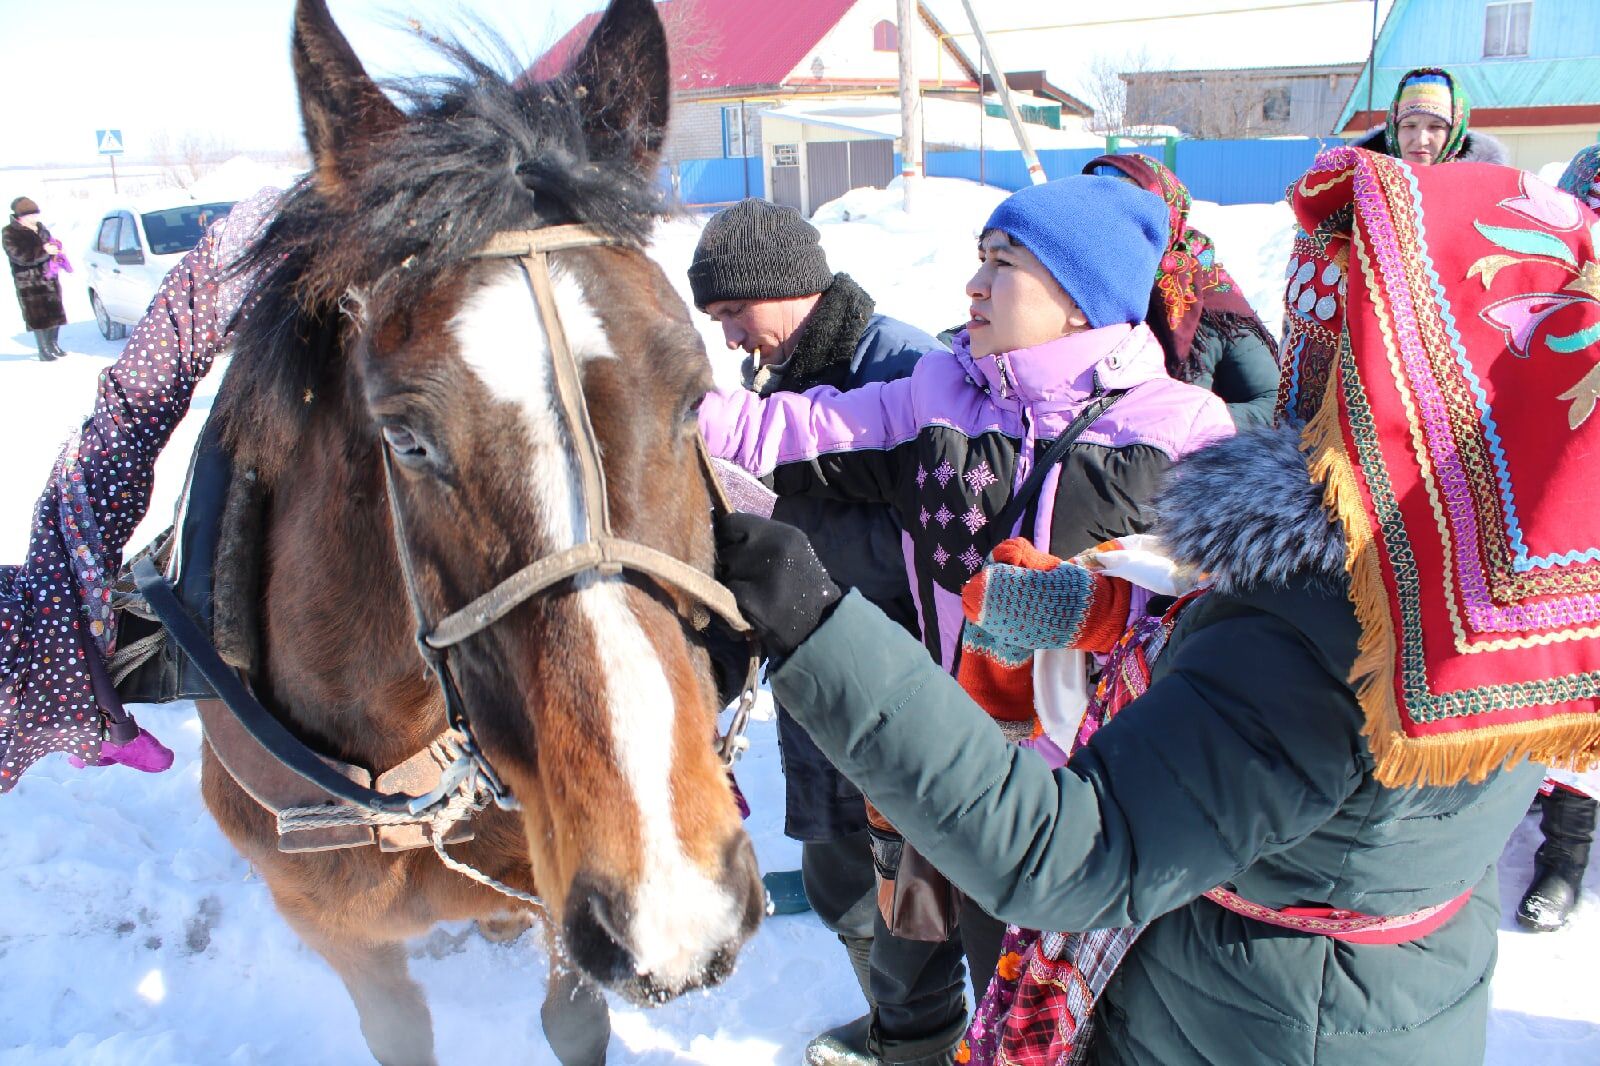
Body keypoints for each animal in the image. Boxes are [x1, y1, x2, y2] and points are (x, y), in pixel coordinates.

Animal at [200, 2, 761, 1062]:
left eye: (695, 396)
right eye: (407, 439)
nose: (672, 898)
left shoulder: (558, 893)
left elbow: (571, 1015)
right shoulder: (343, 938)